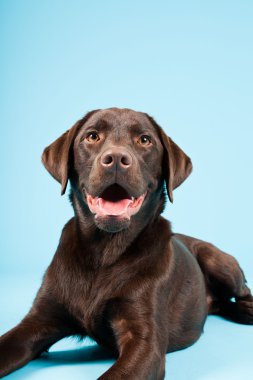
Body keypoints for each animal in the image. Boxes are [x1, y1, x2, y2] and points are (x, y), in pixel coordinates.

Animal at [0, 107, 253, 380]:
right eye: (92, 136)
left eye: (145, 140)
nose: (116, 159)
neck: (104, 252)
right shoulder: (37, 321)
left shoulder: (145, 342)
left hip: (218, 262)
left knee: (242, 291)